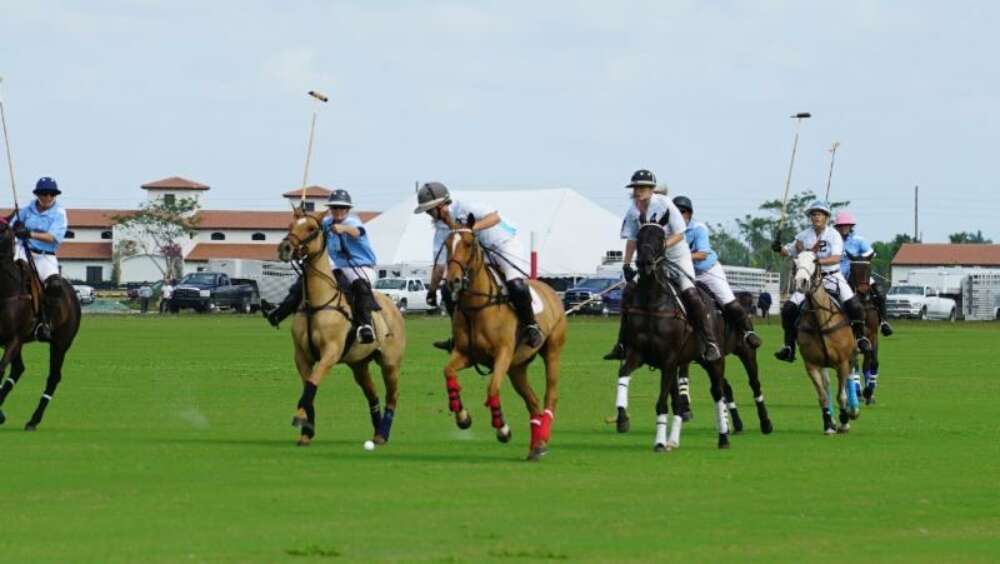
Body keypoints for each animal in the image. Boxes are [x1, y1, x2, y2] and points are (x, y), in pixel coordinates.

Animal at [0, 218, 81, 430]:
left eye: (2, 231)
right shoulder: (8, 340)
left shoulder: (13, 339)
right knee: (18, 369)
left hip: (61, 343)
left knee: (53, 377)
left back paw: (33, 420)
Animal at [276, 209, 404, 448]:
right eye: (290, 225)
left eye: (312, 228)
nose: (285, 248)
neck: (316, 303)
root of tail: (394, 305)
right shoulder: (302, 356)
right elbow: (308, 386)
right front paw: (307, 430)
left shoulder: (331, 352)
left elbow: (312, 382)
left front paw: (299, 419)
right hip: (359, 364)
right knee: (372, 394)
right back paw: (376, 432)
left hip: (390, 362)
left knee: (393, 395)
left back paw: (383, 433)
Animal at [440, 214, 568, 460]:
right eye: (447, 245)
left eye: (468, 244)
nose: (453, 281)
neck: (478, 306)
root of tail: (550, 289)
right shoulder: (465, 354)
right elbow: (448, 371)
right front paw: (462, 417)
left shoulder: (503, 354)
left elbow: (492, 388)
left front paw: (502, 429)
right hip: (517, 367)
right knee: (533, 402)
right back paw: (536, 446)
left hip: (552, 351)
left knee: (551, 396)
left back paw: (543, 436)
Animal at [612, 214, 732, 452]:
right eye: (639, 235)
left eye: (660, 237)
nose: (645, 263)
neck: (652, 302)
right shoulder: (638, 354)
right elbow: (622, 375)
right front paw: (622, 418)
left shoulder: (668, 360)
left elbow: (661, 403)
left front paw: (658, 442)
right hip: (682, 362)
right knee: (678, 402)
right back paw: (673, 441)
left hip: (714, 361)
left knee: (717, 392)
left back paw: (723, 437)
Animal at [788, 250, 860, 432]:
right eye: (795, 261)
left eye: (815, 261)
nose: (801, 282)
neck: (819, 321)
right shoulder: (812, 365)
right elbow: (822, 396)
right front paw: (828, 423)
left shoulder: (842, 362)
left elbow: (841, 395)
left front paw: (844, 420)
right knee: (827, 386)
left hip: (852, 354)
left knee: (850, 376)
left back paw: (853, 411)